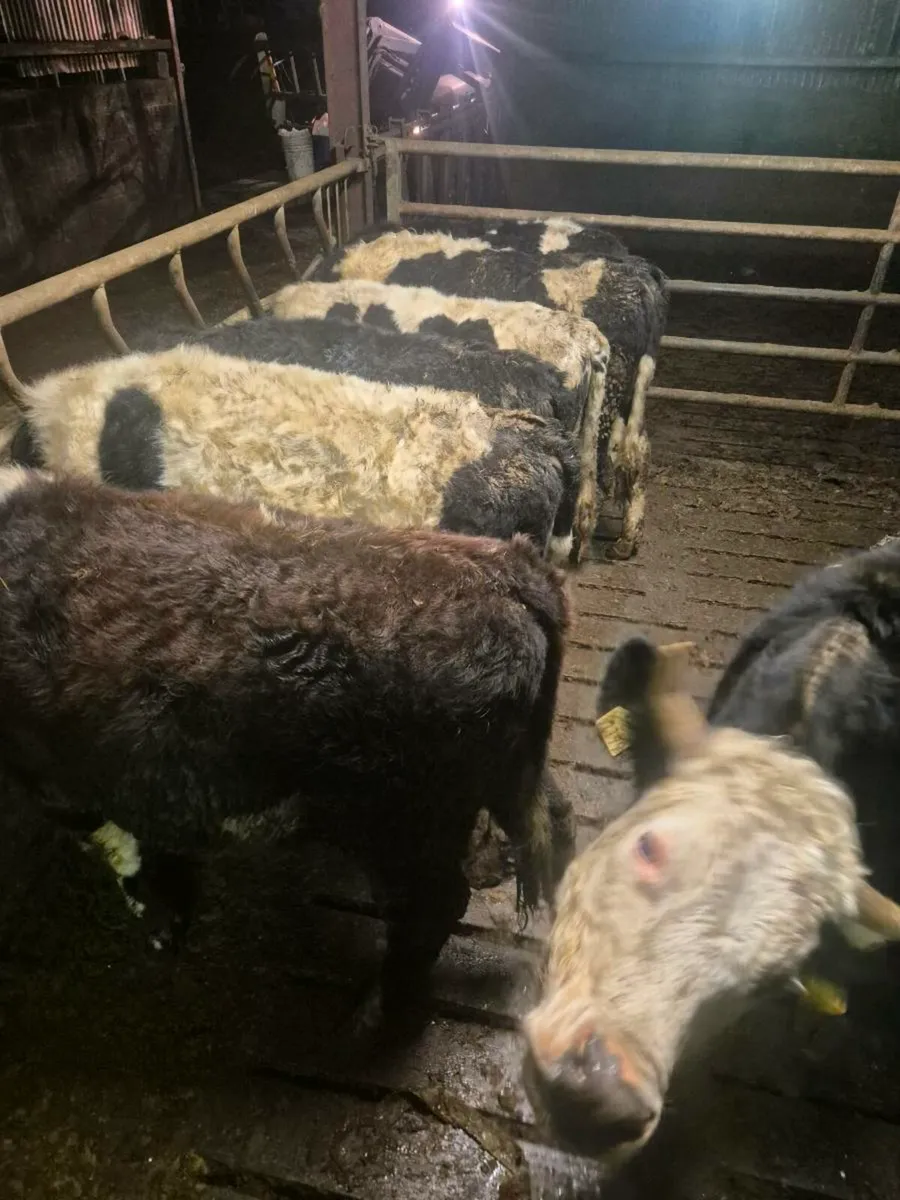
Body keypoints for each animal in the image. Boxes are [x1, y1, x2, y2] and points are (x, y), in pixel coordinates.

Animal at [0, 466, 575, 1036]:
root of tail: (508, 569)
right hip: (507, 777)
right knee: (558, 818)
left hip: (403, 827)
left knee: (435, 907)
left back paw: (371, 1013)